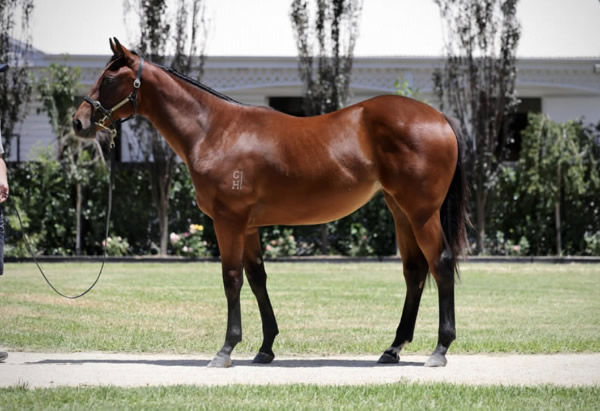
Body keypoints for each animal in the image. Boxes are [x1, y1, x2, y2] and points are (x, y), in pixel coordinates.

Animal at [74, 38, 468, 368]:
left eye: (109, 78)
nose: (79, 122)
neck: (215, 130)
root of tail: (438, 117)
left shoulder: (228, 221)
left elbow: (231, 279)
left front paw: (225, 350)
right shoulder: (248, 226)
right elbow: (257, 278)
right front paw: (265, 348)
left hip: (421, 213)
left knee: (441, 264)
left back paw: (440, 349)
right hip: (400, 211)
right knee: (414, 271)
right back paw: (393, 348)